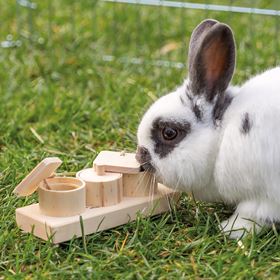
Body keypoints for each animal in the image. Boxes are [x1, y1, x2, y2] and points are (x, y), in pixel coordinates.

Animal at [135, 19, 280, 238]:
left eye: (169, 133)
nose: (139, 157)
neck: (222, 137)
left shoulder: (263, 198)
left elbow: (251, 216)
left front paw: (229, 229)